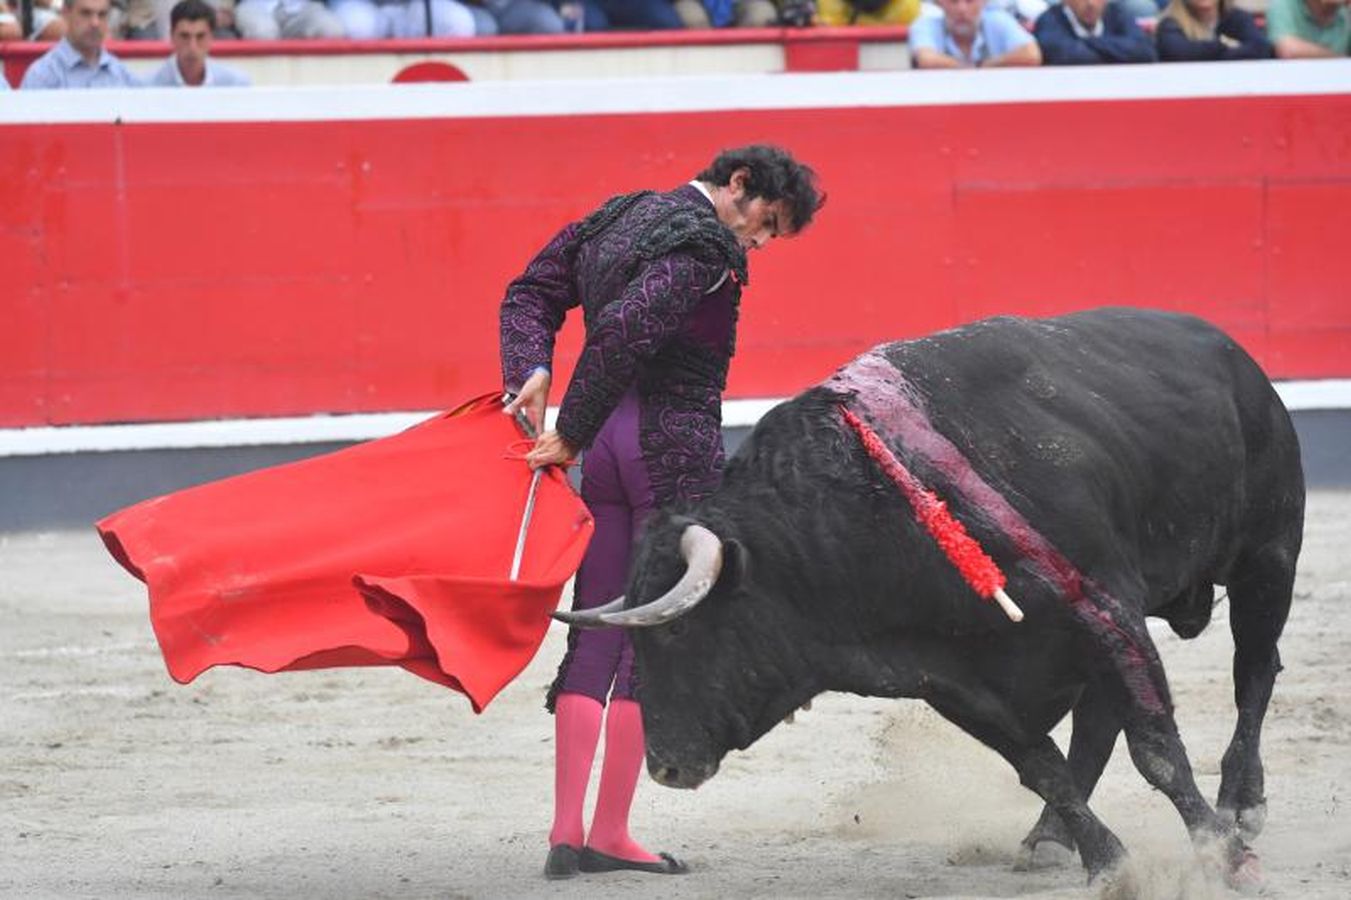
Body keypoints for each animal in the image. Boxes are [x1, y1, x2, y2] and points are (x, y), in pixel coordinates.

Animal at [553, 306, 1302, 875]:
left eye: (679, 628)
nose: (665, 766)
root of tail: (1233, 354)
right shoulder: (952, 680)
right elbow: (1042, 764)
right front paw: (1108, 861)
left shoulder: (1100, 607)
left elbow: (1156, 749)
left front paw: (1223, 857)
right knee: (1098, 720)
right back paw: (1047, 838)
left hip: (1267, 559)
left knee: (1253, 673)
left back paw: (1242, 808)